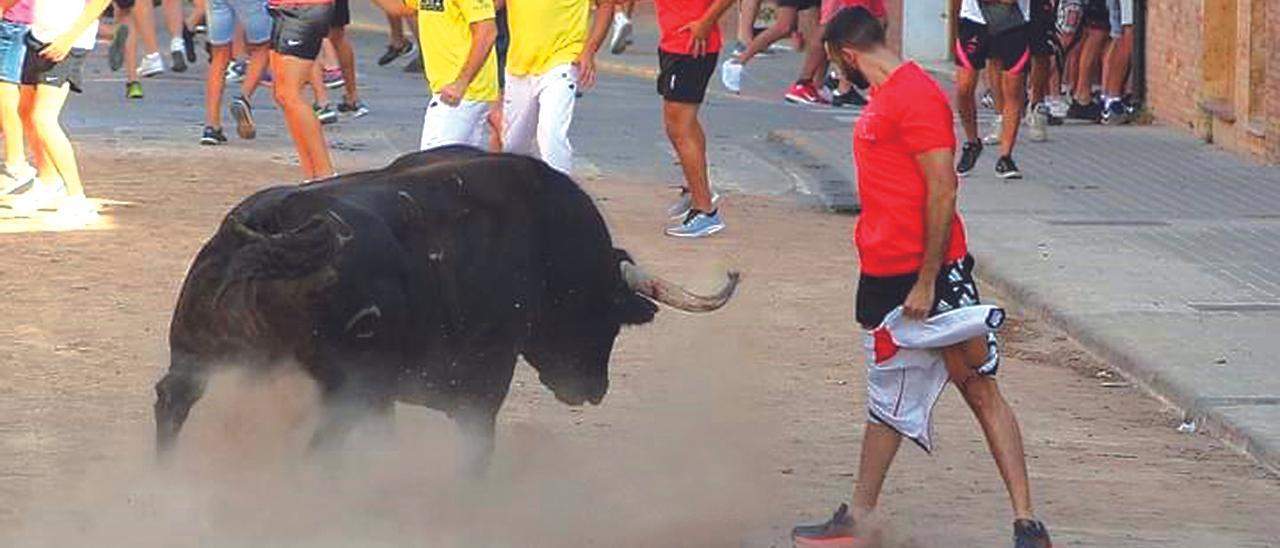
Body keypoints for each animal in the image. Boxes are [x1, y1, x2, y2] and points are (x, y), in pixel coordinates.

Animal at [152, 146, 742, 471]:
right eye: (608, 317)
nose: (593, 390)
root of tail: (273, 225)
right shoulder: (480, 389)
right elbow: (475, 453)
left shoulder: (389, 397)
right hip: (343, 389)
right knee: (318, 447)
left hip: (197, 357)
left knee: (173, 403)